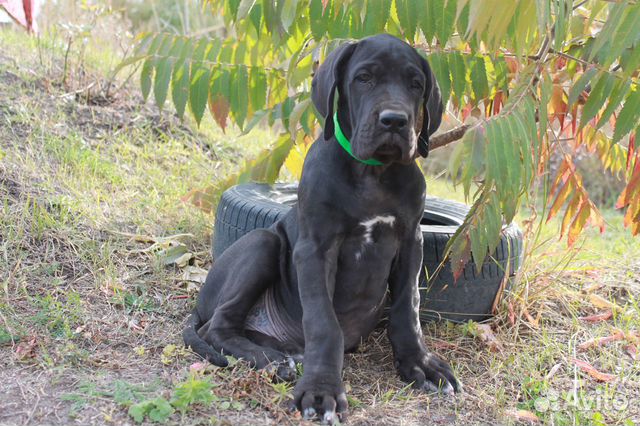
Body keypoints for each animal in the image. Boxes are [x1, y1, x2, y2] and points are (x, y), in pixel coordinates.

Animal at [185, 34, 460, 422]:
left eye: (415, 84)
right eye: (364, 78)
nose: (394, 121)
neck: (373, 174)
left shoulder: (411, 243)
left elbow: (409, 308)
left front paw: (420, 363)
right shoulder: (316, 248)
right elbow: (323, 322)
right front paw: (322, 389)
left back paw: (284, 357)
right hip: (263, 243)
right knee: (219, 325)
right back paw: (271, 362)